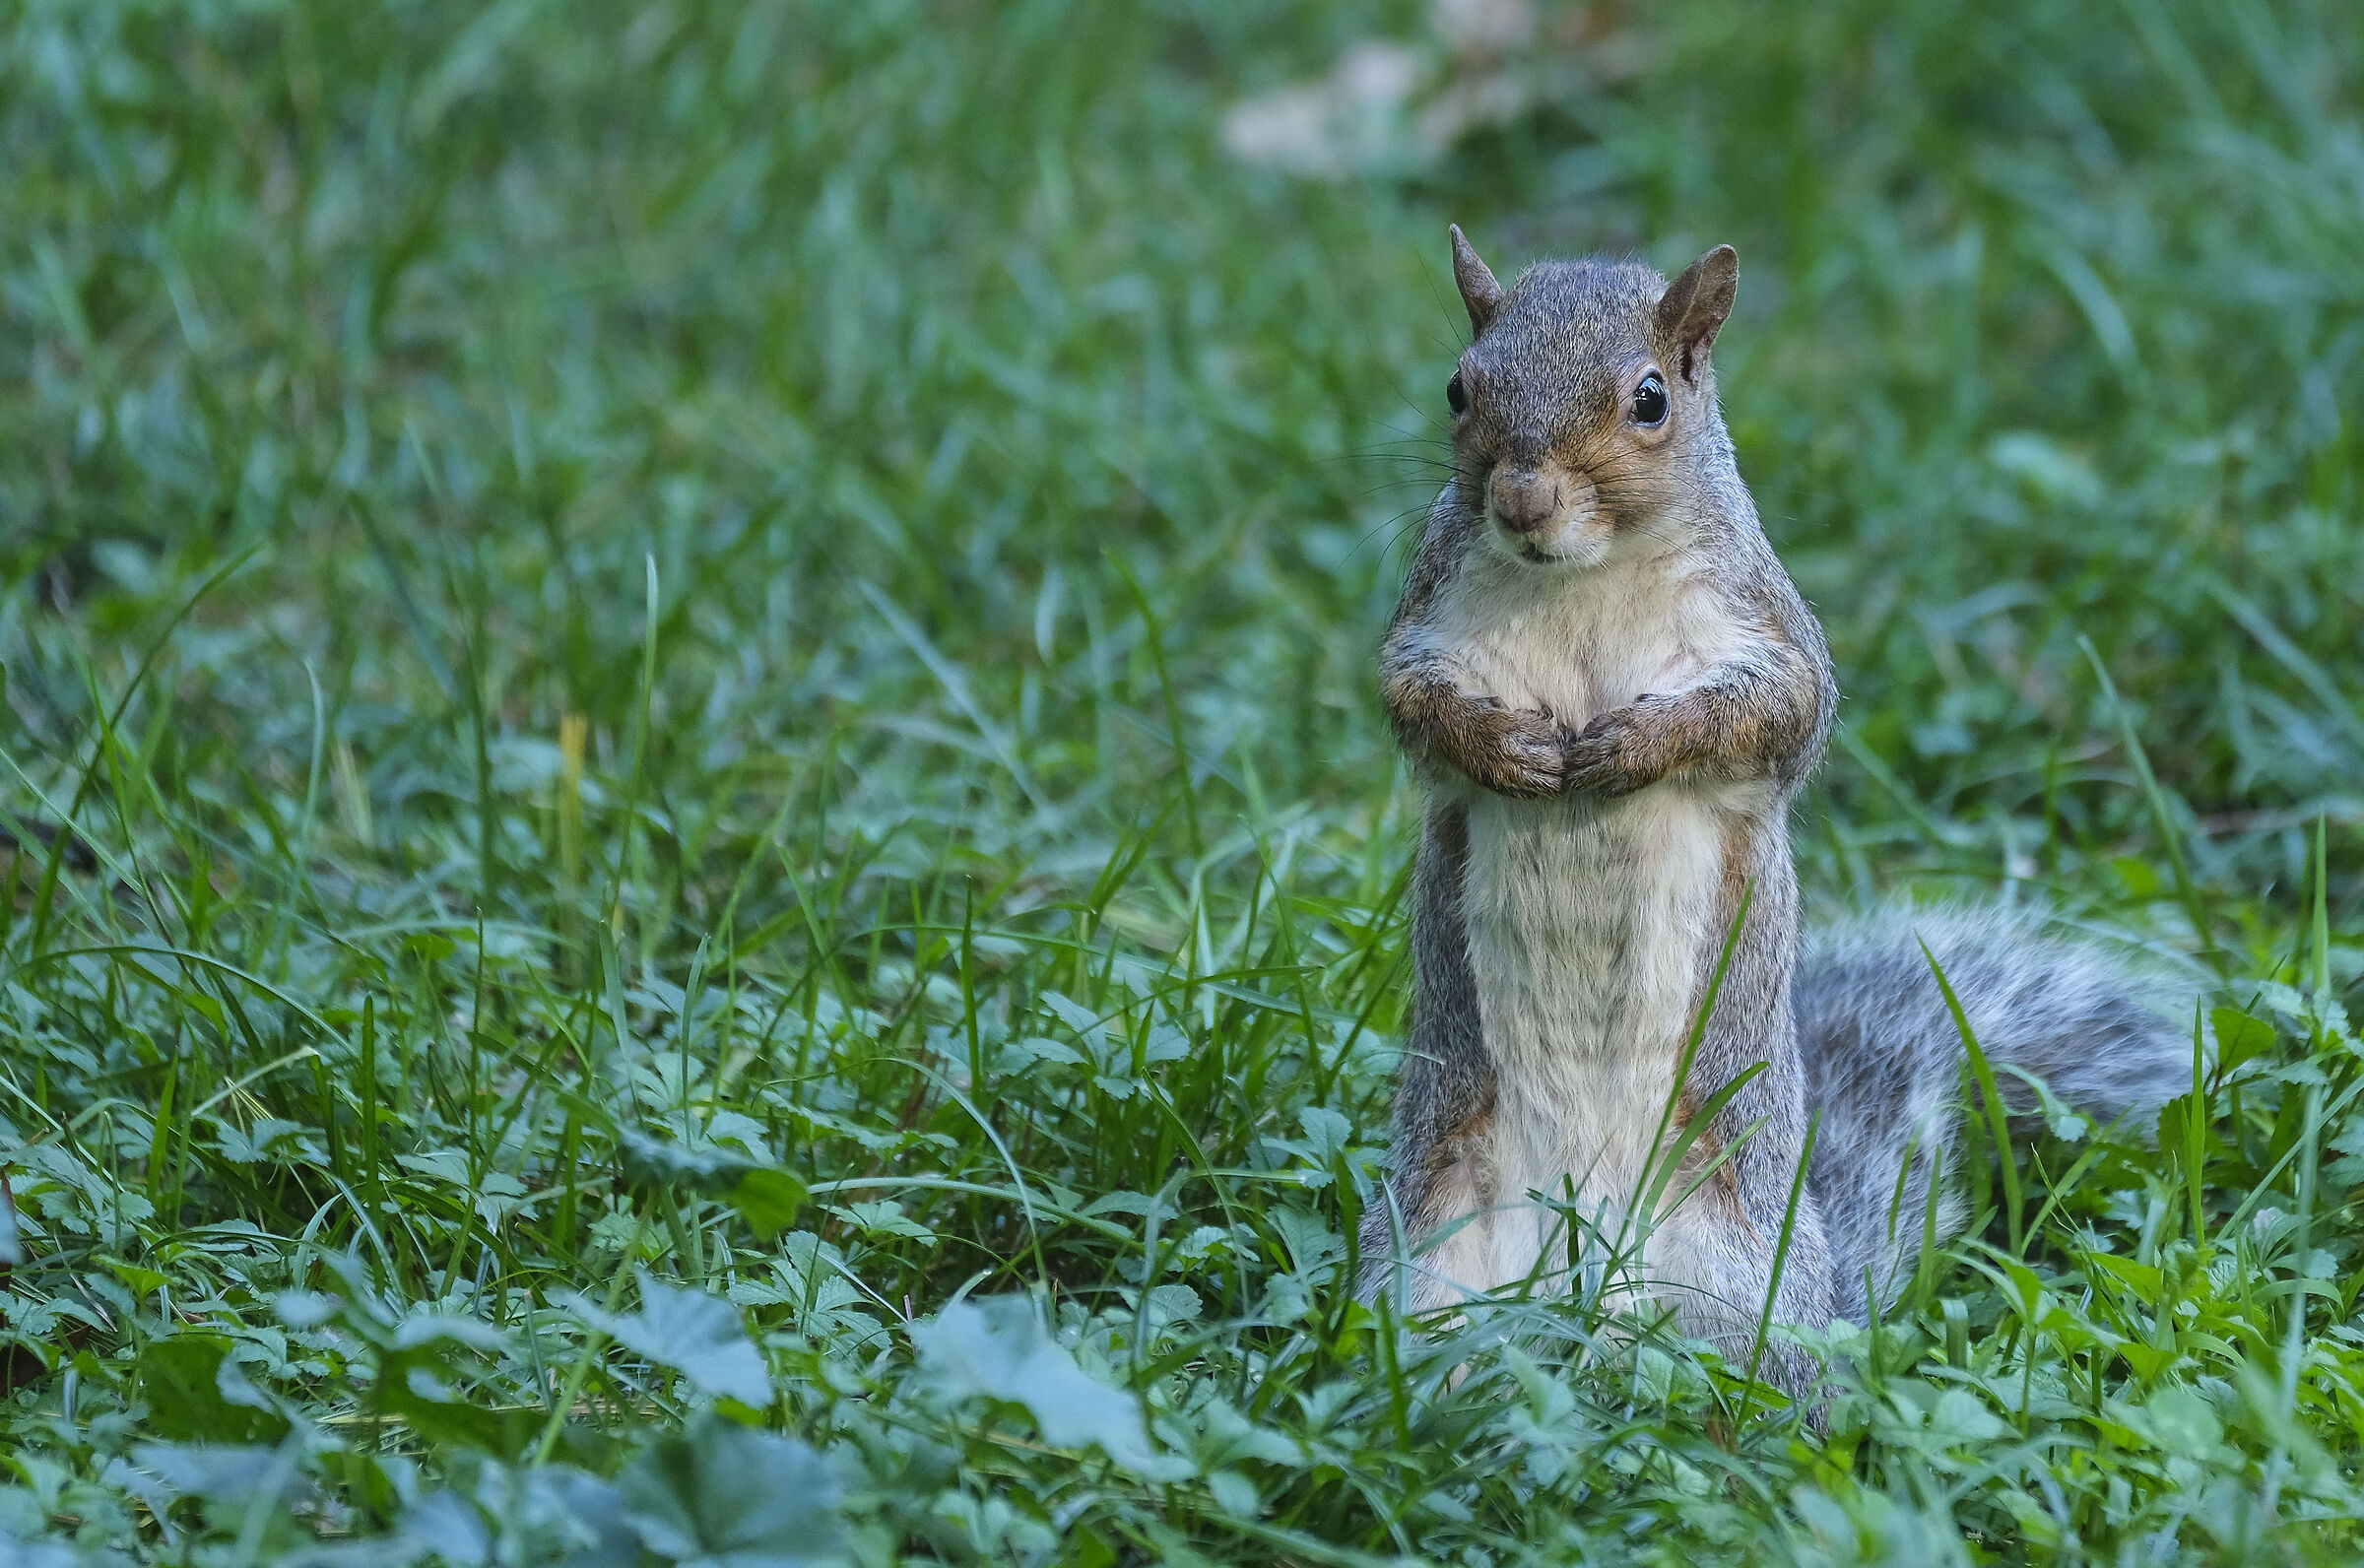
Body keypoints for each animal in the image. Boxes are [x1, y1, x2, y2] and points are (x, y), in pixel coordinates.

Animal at [1360, 226, 2194, 1402]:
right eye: (1458, 388)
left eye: (1651, 399)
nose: (1521, 500)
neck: (1581, 577)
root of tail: (1587, 1291)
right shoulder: (1428, 613)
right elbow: (1411, 704)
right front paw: (1503, 748)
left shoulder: (1768, 629)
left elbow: (1779, 715)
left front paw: (1633, 747)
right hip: (1423, 1259)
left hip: (1740, 1284)